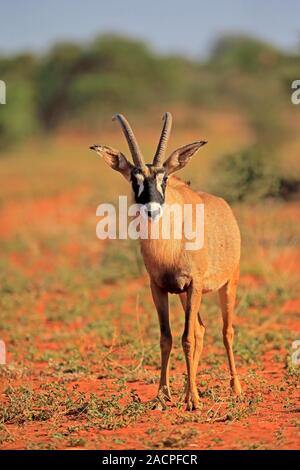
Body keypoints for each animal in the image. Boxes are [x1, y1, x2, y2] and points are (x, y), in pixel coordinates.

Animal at [90, 112, 243, 410]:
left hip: (227, 284)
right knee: (201, 329)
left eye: (165, 179)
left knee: (225, 331)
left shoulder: (194, 285)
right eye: (134, 179)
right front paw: (163, 396)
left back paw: (235, 388)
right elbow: (167, 337)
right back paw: (186, 389)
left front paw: (193, 400)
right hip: (184, 295)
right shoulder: (159, 288)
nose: (152, 209)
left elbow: (186, 339)